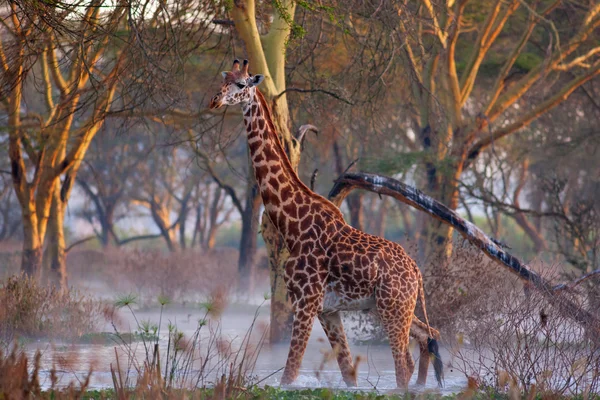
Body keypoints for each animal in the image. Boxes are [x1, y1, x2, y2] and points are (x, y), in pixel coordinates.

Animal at [209, 60, 442, 390]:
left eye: (241, 84)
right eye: (223, 79)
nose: (215, 100)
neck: (292, 224)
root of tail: (417, 273)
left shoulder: (306, 301)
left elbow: (289, 374)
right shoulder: (327, 310)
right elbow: (348, 374)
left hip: (392, 307)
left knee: (403, 364)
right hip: (388, 307)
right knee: (428, 335)